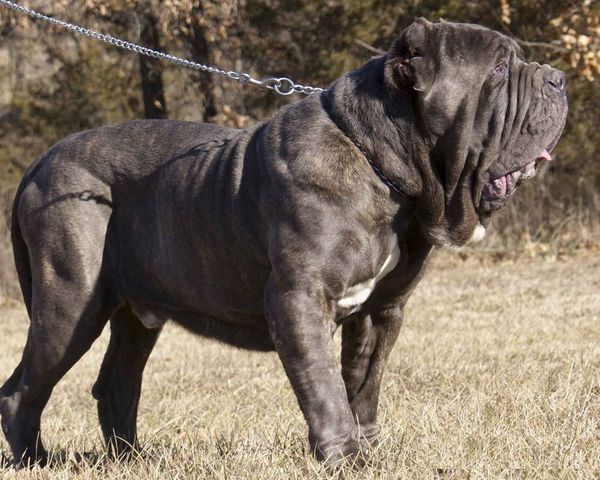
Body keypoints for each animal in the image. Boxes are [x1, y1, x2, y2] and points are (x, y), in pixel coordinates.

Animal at [0, 17, 568, 464]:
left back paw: (135, 460)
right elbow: (324, 386)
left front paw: (370, 451)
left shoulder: (382, 310)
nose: (558, 79)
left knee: (117, 383)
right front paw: (344, 458)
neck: (380, 164)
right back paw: (36, 461)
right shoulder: (299, 298)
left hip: (136, 313)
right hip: (72, 302)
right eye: (498, 69)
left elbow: (363, 384)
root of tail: (39, 165)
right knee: (23, 389)